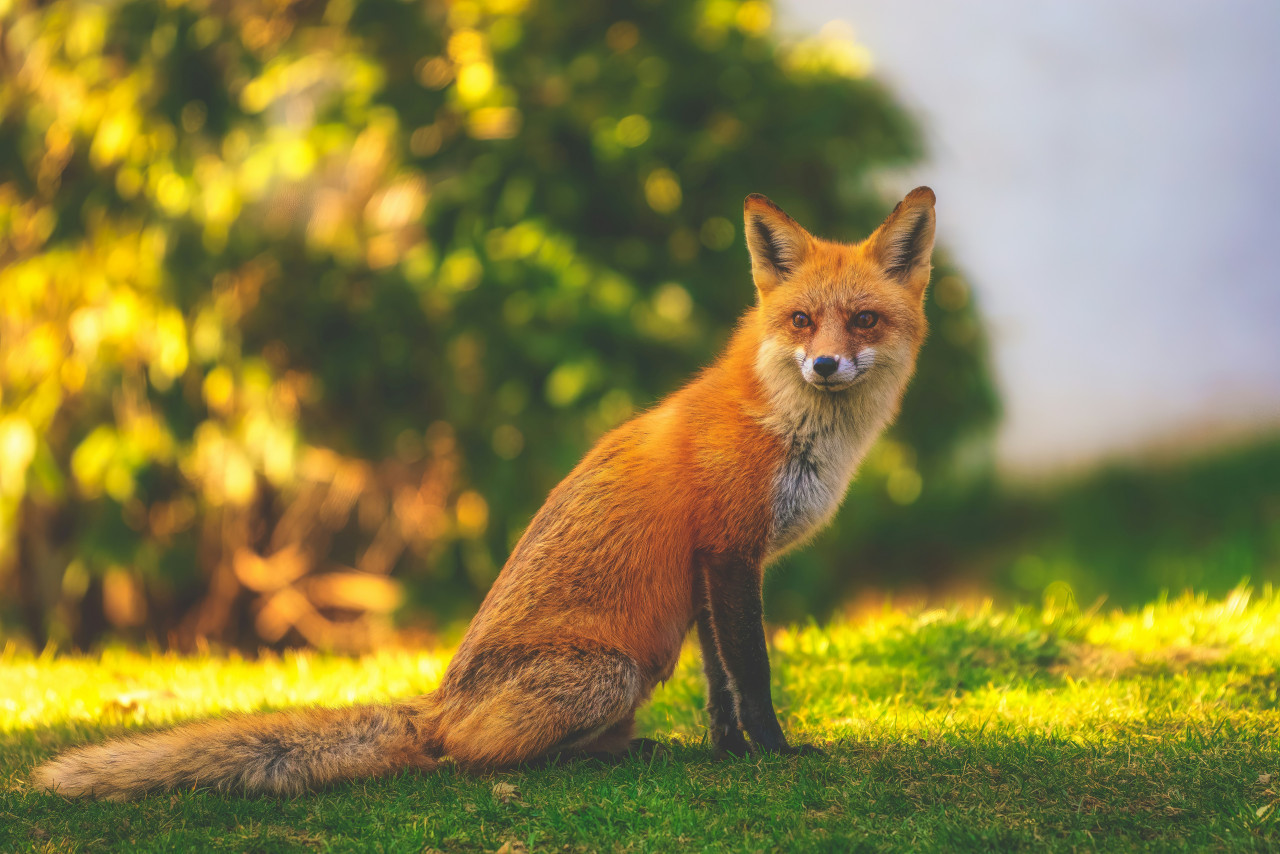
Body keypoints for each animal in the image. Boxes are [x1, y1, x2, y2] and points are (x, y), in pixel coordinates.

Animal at [35, 184, 942, 798]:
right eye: (800, 322)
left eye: (863, 321)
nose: (825, 364)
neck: (789, 428)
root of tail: (437, 701)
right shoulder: (728, 552)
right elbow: (752, 674)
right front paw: (776, 753)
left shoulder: (713, 567)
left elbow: (721, 683)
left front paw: (729, 753)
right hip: (613, 672)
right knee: (462, 757)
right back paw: (587, 757)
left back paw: (629, 749)